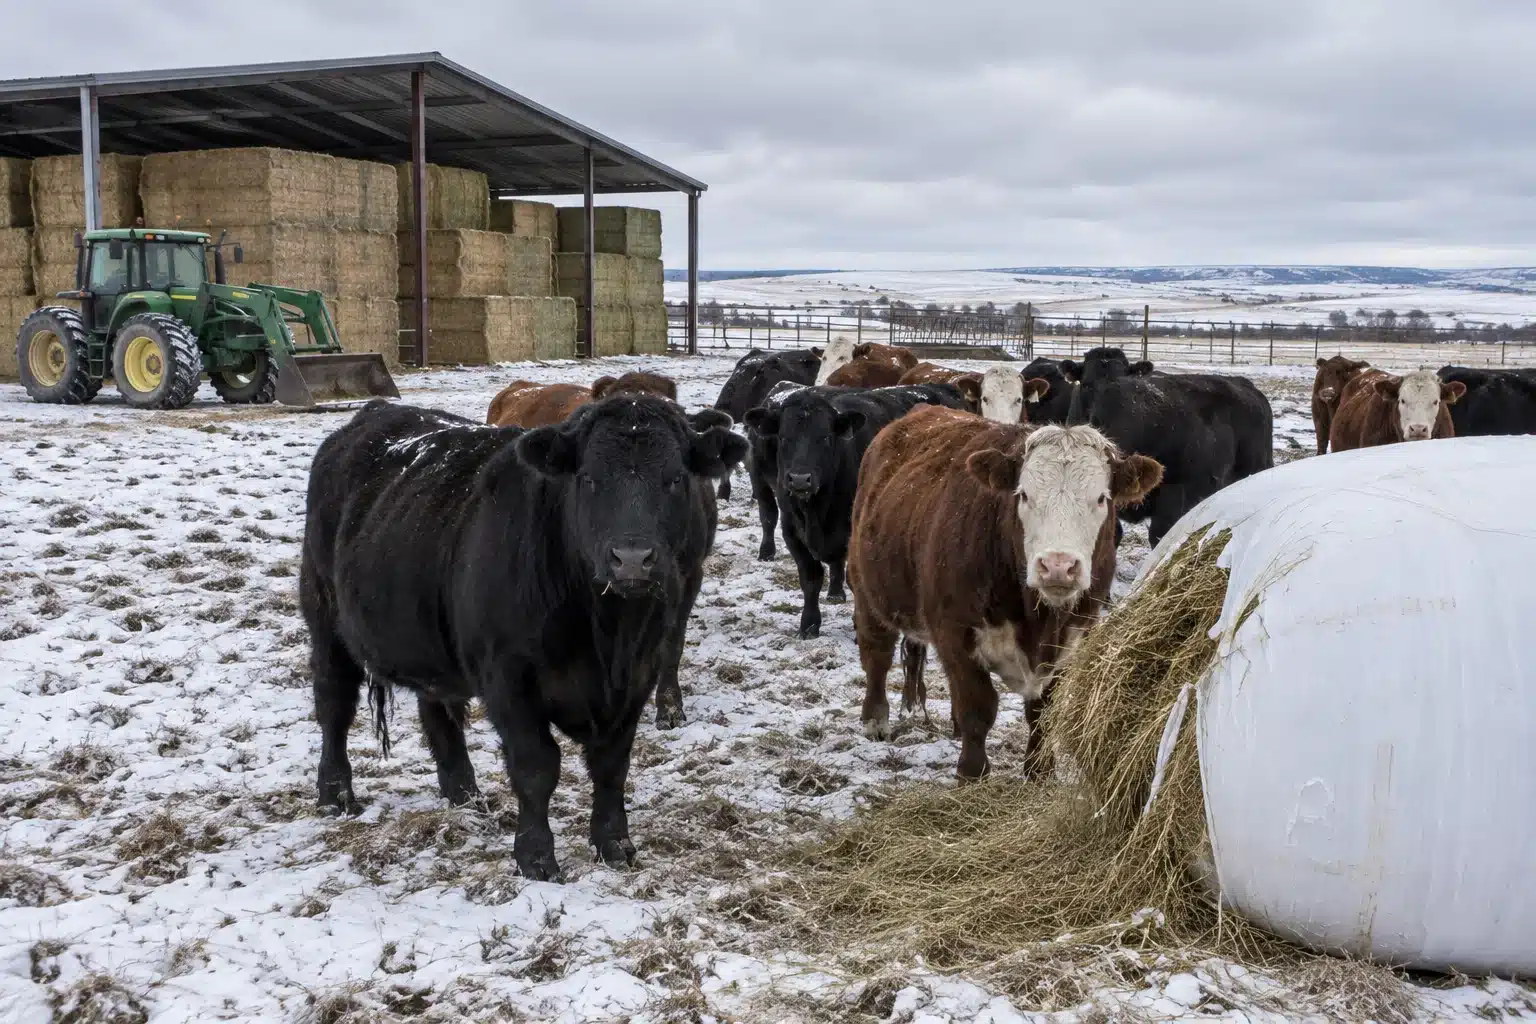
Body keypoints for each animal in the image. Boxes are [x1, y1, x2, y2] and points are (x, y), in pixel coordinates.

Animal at [299, 397, 746, 881]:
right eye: (588, 478)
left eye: (676, 478)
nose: (631, 559)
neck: (607, 637)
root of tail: (373, 413)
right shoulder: (508, 679)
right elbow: (536, 767)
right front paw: (536, 857)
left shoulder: (638, 677)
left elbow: (612, 766)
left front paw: (615, 845)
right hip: (324, 617)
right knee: (334, 705)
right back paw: (336, 794)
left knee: (437, 710)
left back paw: (464, 795)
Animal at [743, 384, 971, 638]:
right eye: (784, 437)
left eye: (825, 437)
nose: (800, 479)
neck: (817, 510)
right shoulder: (792, 531)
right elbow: (811, 579)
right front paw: (809, 625)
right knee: (769, 516)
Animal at [848, 406, 1162, 778]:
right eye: (1024, 495)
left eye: (1101, 498)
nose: (1058, 565)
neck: (1038, 620)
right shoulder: (955, 634)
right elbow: (978, 706)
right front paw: (972, 771)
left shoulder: (1073, 637)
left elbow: (1043, 711)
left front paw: (1039, 771)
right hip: (866, 590)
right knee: (877, 654)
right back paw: (875, 719)